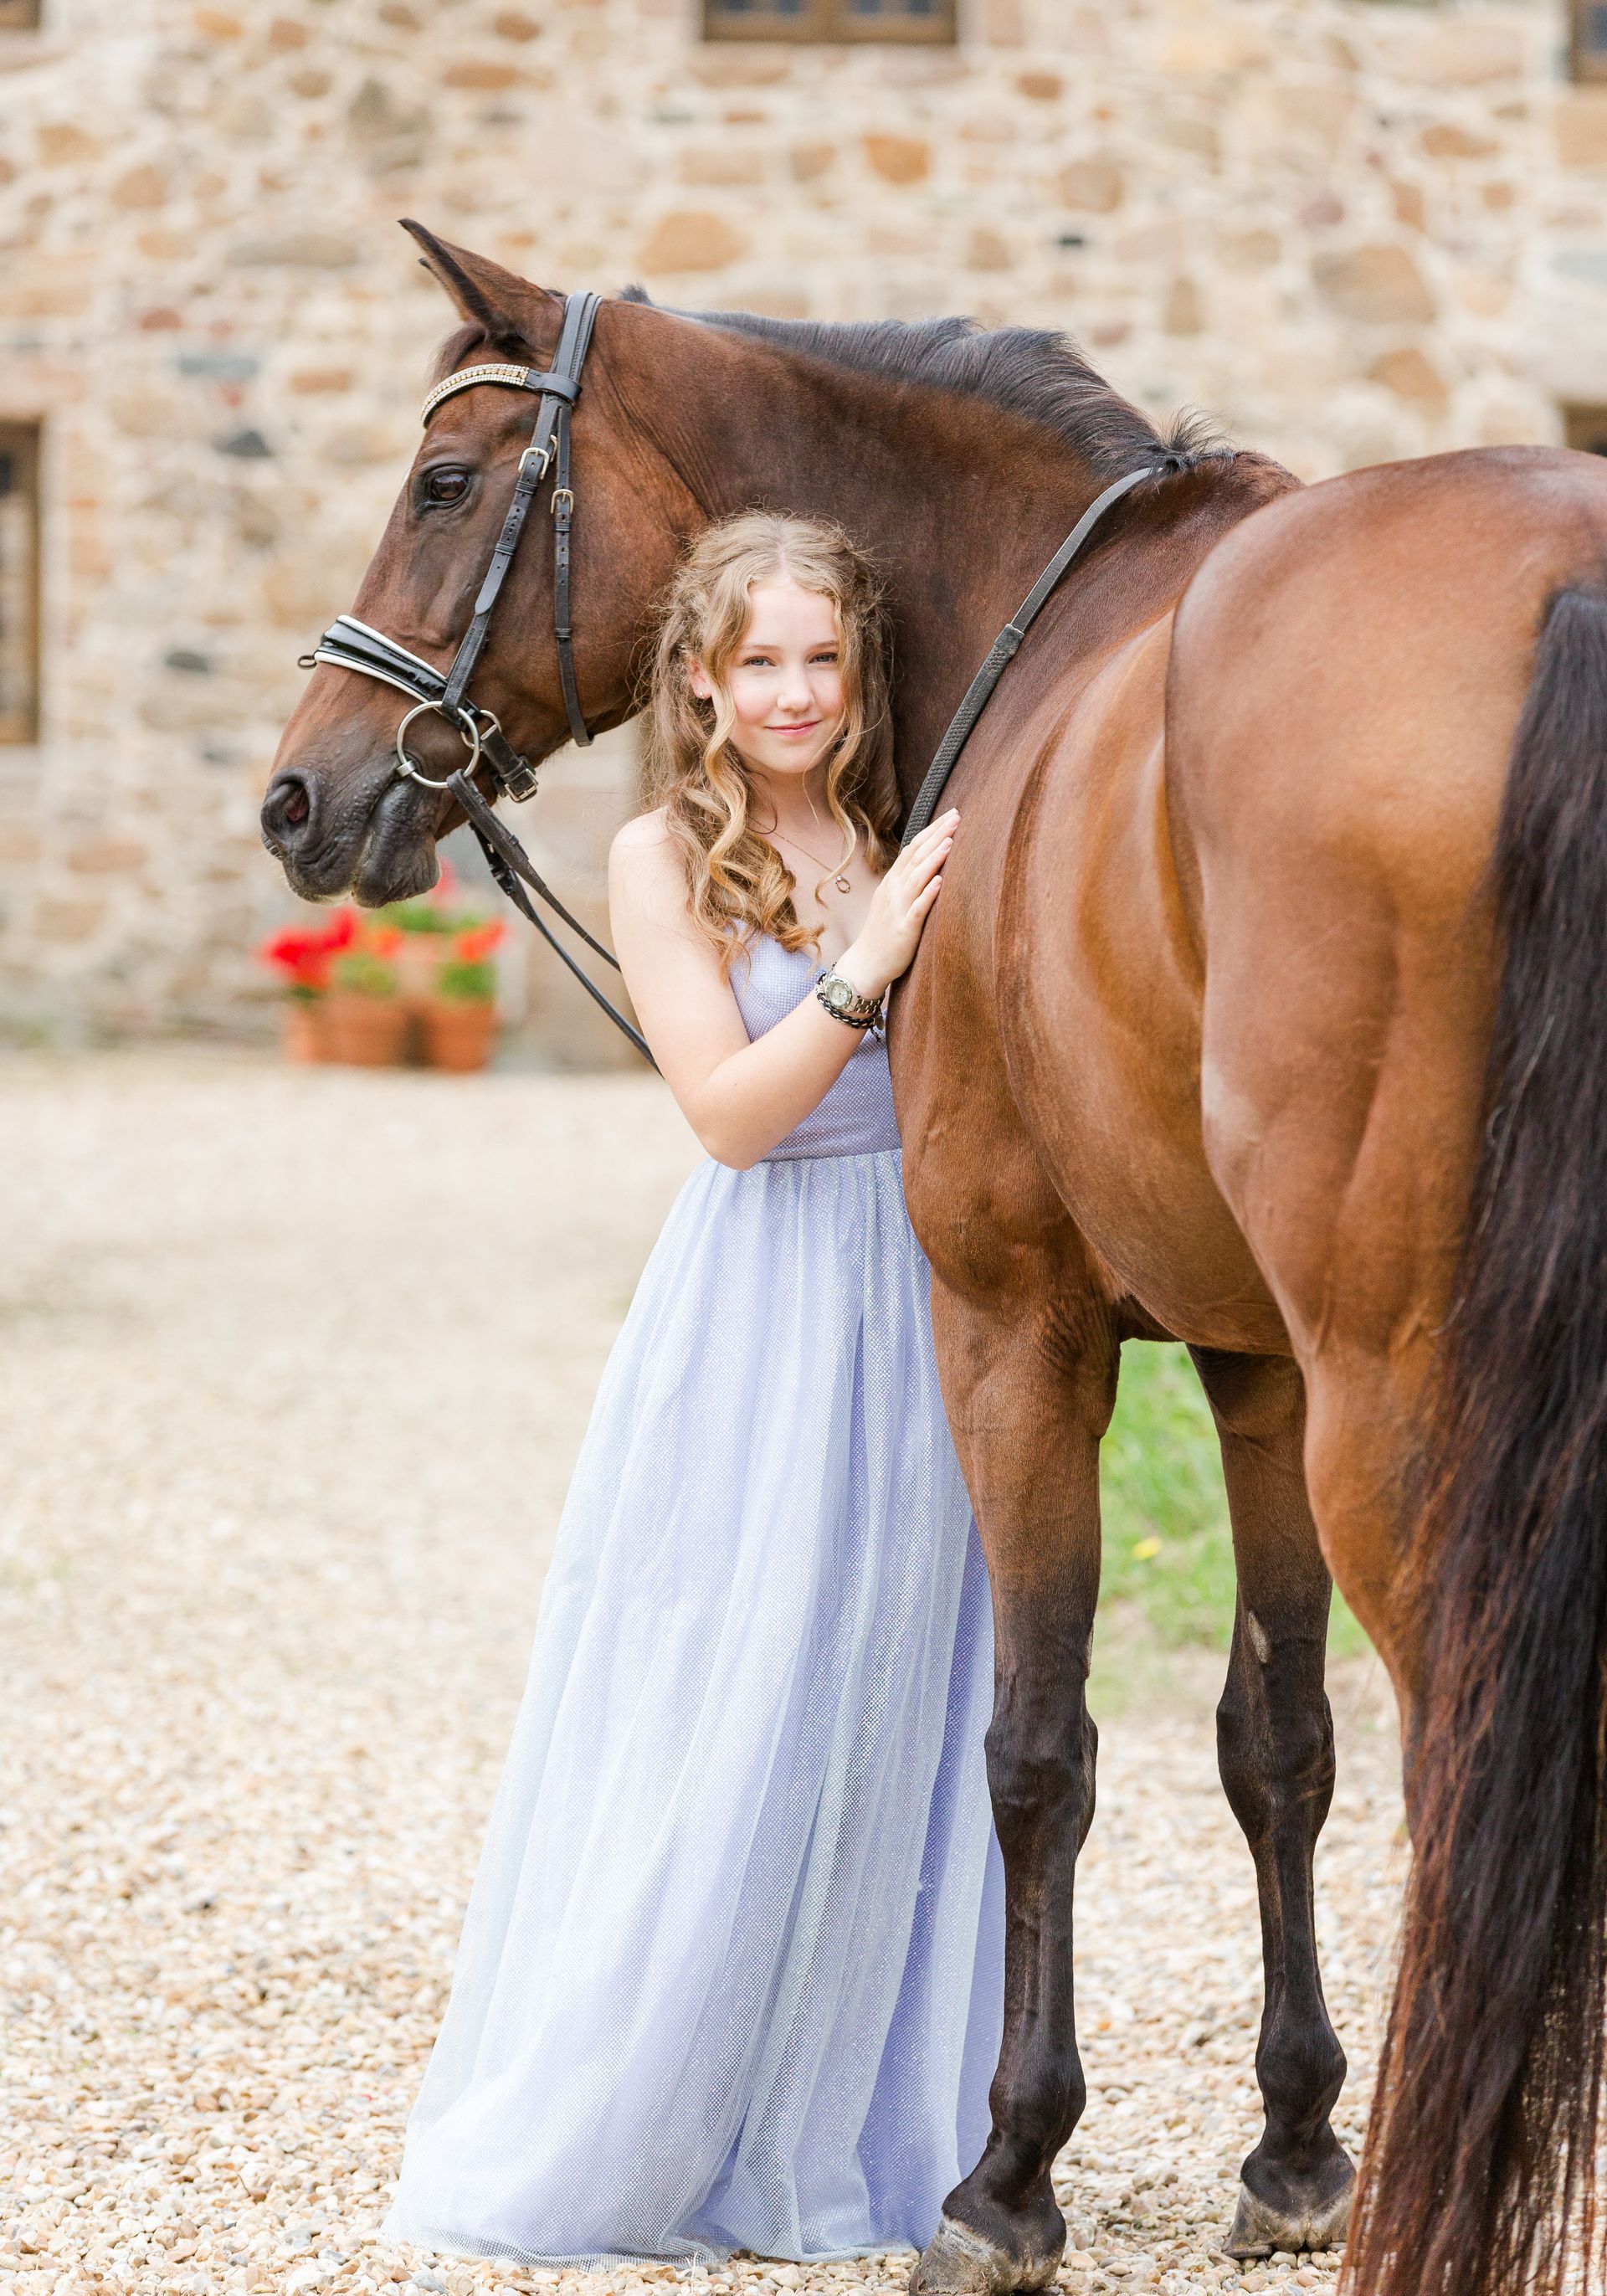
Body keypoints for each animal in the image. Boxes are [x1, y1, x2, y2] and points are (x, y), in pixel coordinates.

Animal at [263, 226, 1607, 2296]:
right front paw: (1294, 2144)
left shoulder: (1017, 1328)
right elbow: (1273, 1741)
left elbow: (1038, 1751)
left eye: (446, 482)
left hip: (1410, 1407)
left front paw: (1005, 2173)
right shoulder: (1254, 1365)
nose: (301, 797)